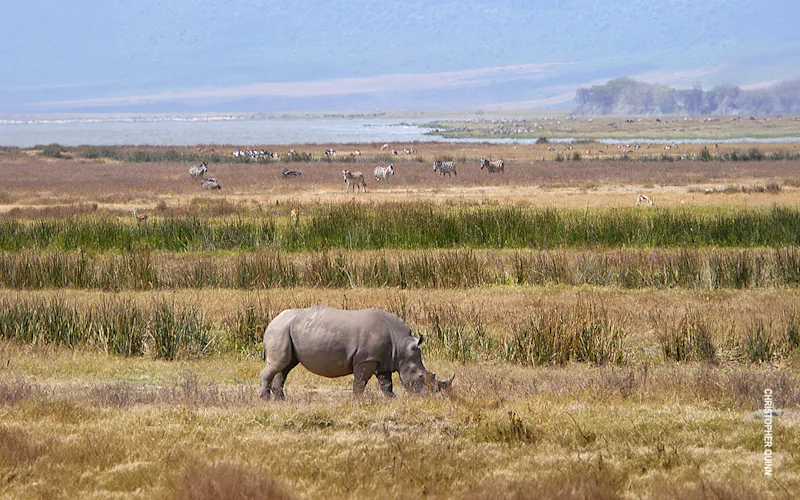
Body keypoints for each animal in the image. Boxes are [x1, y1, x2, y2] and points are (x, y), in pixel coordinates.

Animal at [258, 306, 454, 400]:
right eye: (420, 376)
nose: (428, 397)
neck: (401, 345)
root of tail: (271, 321)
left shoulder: (384, 360)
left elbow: (386, 383)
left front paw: (393, 398)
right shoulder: (366, 359)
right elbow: (360, 381)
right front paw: (358, 400)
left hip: (286, 329)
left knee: (286, 366)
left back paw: (282, 400)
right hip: (280, 330)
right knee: (279, 364)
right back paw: (264, 399)